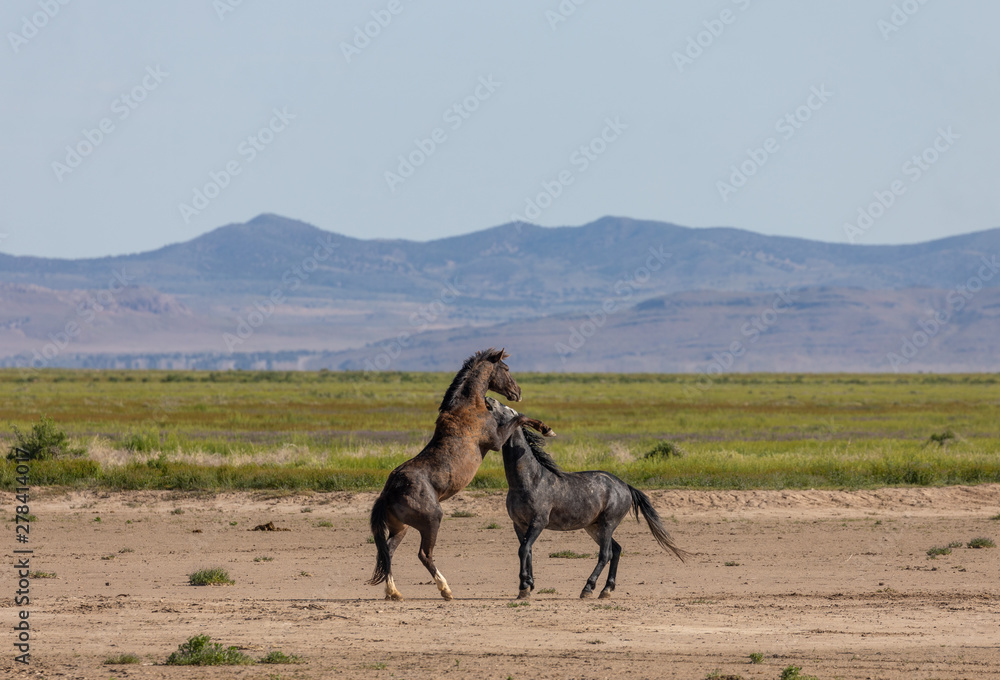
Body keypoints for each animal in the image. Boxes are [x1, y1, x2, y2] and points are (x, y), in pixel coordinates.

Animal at [367, 349, 555, 601]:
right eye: (506, 369)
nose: (518, 392)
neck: (469, 406)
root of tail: (387, 493)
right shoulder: (496, 440)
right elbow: (520, 417)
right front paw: (546, 429)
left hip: (401, 527)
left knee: (388, 551)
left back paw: (394, 592)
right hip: (431, 520)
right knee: (424, 554)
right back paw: (445, 590)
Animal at [488, 397, 689, 600]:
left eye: (507, 408)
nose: (489, 398)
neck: (530, 480)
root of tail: (625, 486)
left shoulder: (538, 522)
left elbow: (523, 549)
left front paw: (524, 588)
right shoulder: (519, 524)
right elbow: (527, 550)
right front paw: (530, 584)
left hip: (608, 523)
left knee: (606, 554)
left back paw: (588, 588)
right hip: (594, 527)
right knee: (616, 550)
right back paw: (606, 589)